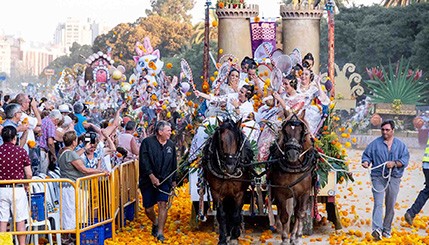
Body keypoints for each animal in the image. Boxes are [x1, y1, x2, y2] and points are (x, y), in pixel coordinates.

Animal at [268, 114, 318, 244]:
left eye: (301, 131)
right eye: (285, 131)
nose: (292, 154)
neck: (293, 167)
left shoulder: (304, 193)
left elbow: (300, 214)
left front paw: (296, 236)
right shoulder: (280, 193)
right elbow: (284, 216)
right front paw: (285, 237)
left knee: (297, 212)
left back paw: (295, 235)